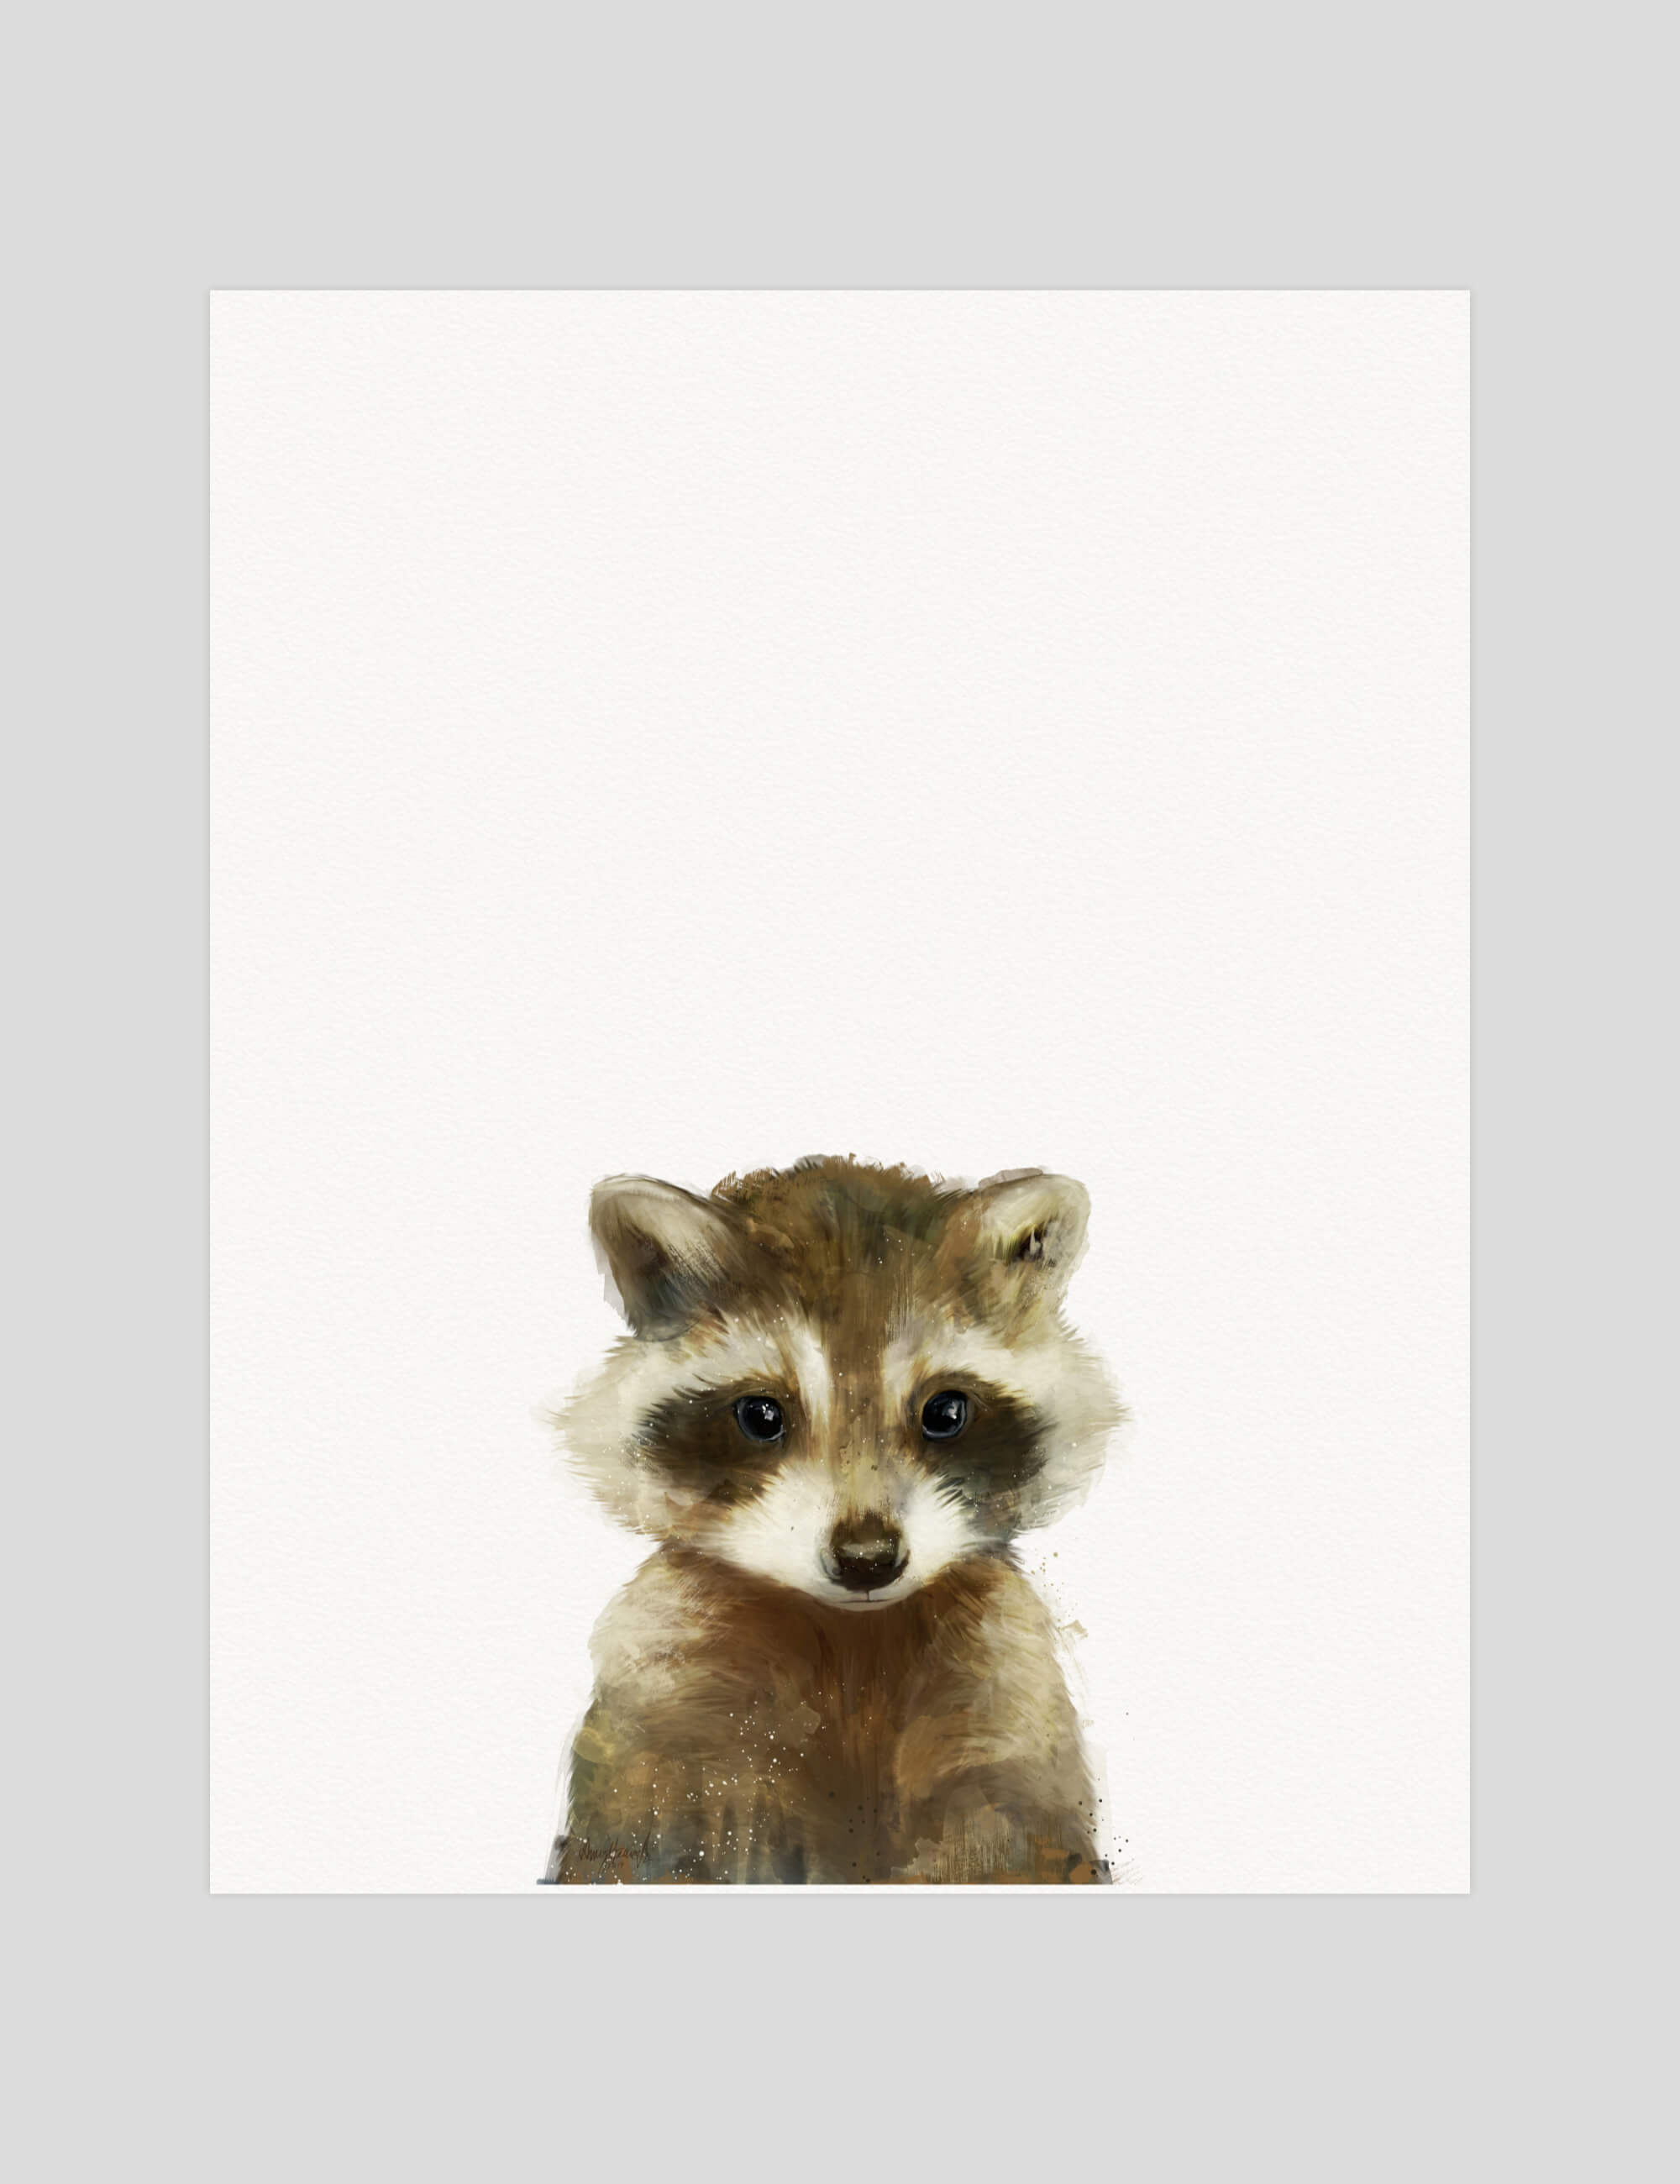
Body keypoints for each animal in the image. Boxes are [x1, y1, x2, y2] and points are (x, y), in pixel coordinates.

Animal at [543, 1156, 1125, 1885]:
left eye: (945, 1413)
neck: (854, 1638)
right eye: (761, 1415)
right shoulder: (666, 1702)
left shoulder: (1005, 1696)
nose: (867, 1558)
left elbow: (1014, 1843)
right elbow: (653, 1841)